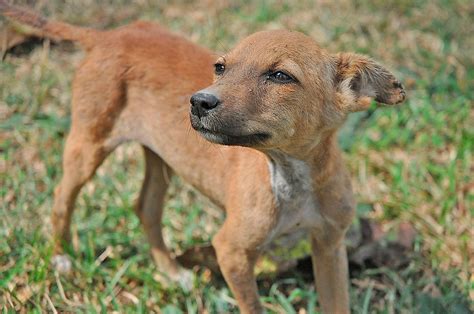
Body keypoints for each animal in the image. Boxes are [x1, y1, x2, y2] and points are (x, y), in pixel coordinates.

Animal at [1, 1, 406, 312]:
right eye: (220, 67)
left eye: (280, 76)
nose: (198, 102)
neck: (291, 175)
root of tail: (107, 35)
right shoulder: (231, 251)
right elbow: (252, 306)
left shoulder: (330, 246)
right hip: (88, 143)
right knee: (62, 197)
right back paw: (61, 257)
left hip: (161, 154)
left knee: (146, 208)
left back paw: (171, 272)